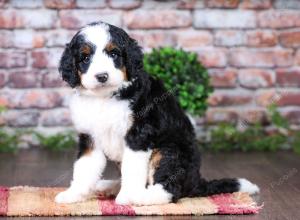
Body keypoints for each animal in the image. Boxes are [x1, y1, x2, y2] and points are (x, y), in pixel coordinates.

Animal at [54, 21, 260, 205]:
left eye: (114, 53)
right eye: (85, 58)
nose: (102, 76)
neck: (105, 97)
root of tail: (197, 182)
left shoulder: (139, 135)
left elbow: (132, 169)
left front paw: (127, 197)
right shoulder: (90, 137)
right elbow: (84, 168)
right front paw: (73, 195)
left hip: (168, 151)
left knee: (170, 190)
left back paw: (139, 197)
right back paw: (109, 187)